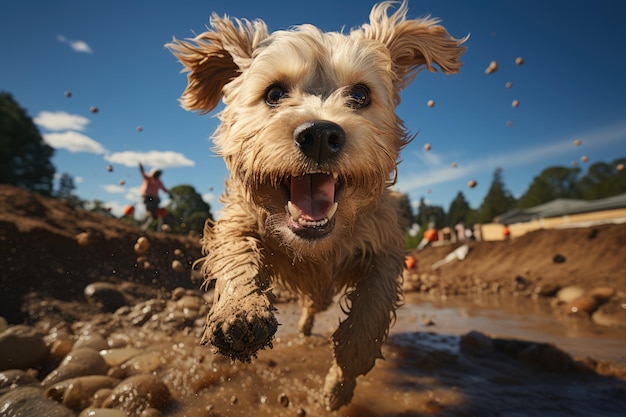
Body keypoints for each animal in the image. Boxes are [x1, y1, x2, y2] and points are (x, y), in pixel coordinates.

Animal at [166, 0, 464, 410]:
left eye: (360, 95)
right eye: (274, 94)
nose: (321, 134)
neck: (316, 244)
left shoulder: (384, 249)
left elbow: (368, 320)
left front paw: (340, 385)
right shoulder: (239, 220)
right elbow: (236, 253)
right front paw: (240, 309)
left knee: (318, 302)